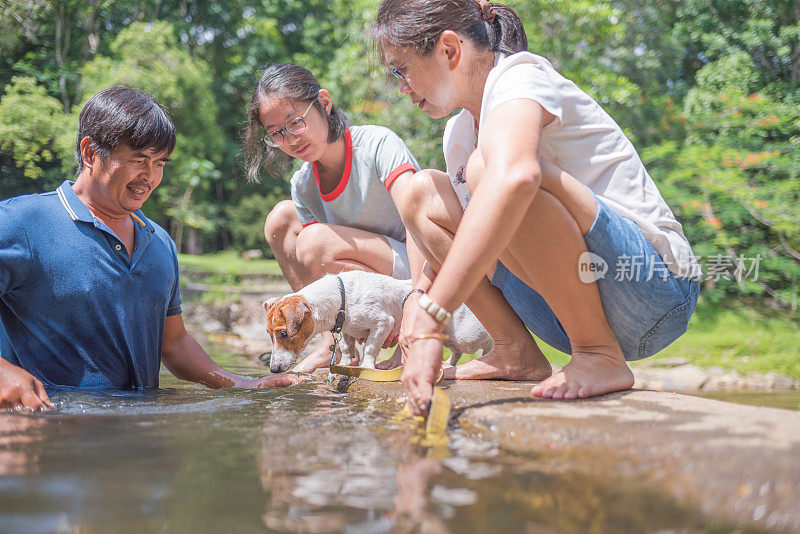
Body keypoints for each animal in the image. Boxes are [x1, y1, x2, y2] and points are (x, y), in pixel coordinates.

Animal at [266, 272, 490, 372]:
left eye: (283, 333)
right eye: (270, 335)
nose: (273, 370)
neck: (342, 297)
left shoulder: (383, 323)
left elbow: (371, 349)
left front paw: (366, 366)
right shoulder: (345, 330)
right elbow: (346, 349)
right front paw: (344, 366)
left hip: (466, 337)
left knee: (484, 343)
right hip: (448, 338)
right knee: (456, 352)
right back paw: (448, 365)